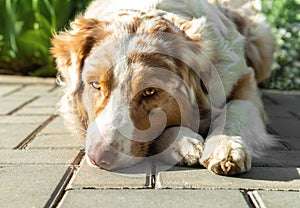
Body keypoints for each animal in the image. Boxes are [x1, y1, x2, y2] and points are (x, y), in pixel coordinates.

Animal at [51, 0, 274, 176]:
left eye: (150, 91)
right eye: (95, 85)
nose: (99, 157)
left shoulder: (244, 80)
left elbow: (237, 109)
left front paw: (225, 146)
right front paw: (183, 143)